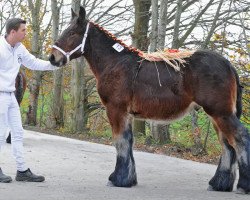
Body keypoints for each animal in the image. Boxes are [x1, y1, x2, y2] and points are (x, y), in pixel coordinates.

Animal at [49, 6, 250, 194]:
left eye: (72, 33)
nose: (52, 58)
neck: (115, 62)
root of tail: (228, 65)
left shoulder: (116, 110)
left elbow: (120, 142)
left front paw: (117, 179)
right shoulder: (127, 114)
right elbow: (128, 142)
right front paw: (128, 179)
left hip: (220, 113)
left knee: (239, 138)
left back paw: (242, 185)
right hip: (218, 115)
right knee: (227, 145)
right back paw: (218, 184)